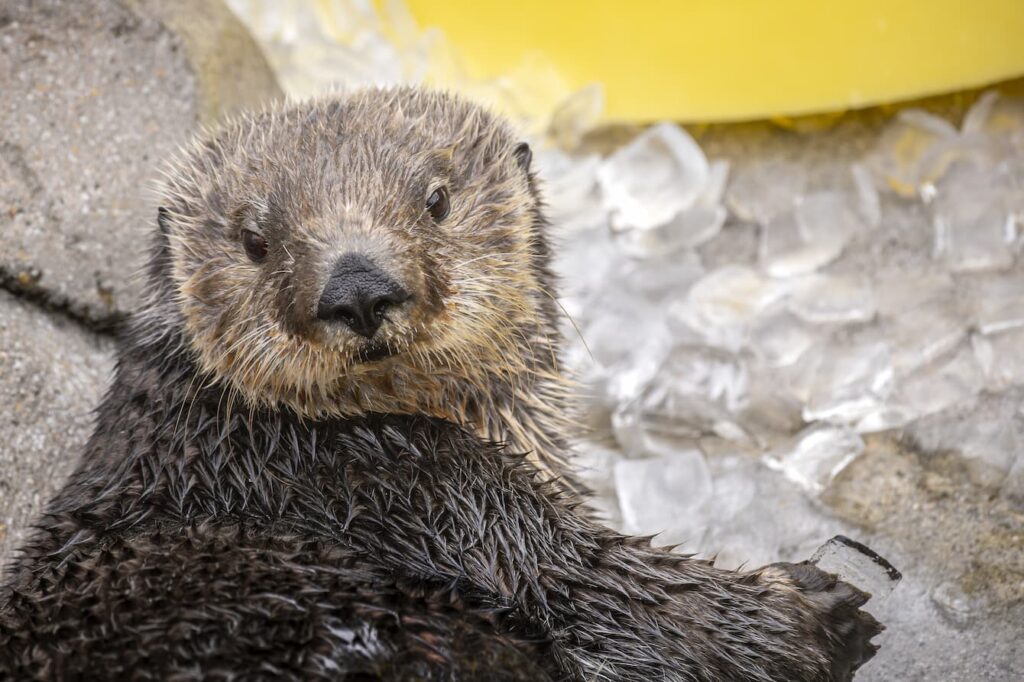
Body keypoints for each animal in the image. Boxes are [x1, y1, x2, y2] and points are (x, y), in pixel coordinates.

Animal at [0, 88, 883, 680]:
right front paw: (812, 609)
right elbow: (603, 593)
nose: (357, 286)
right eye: (254, 240)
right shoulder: (443, 498)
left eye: (436, 200)